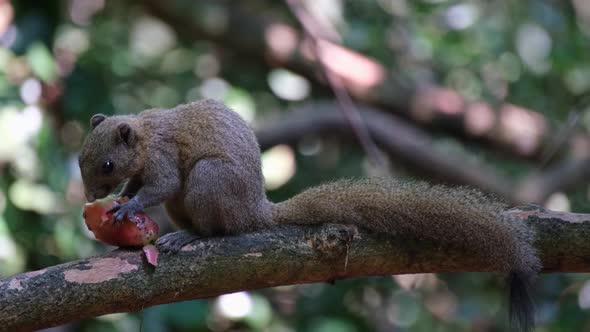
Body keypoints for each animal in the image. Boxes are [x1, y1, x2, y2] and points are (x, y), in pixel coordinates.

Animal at [81, 99, 544, 332]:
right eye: (82, 157)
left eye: (106, 164)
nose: (89, 196)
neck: (143, 134)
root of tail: (256, 211)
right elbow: (138, 185)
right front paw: (122, 201)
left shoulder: (161, 158)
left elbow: (159, 186)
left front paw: (128, 206)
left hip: (208, 182)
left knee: (220, 229)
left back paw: (191, 237)